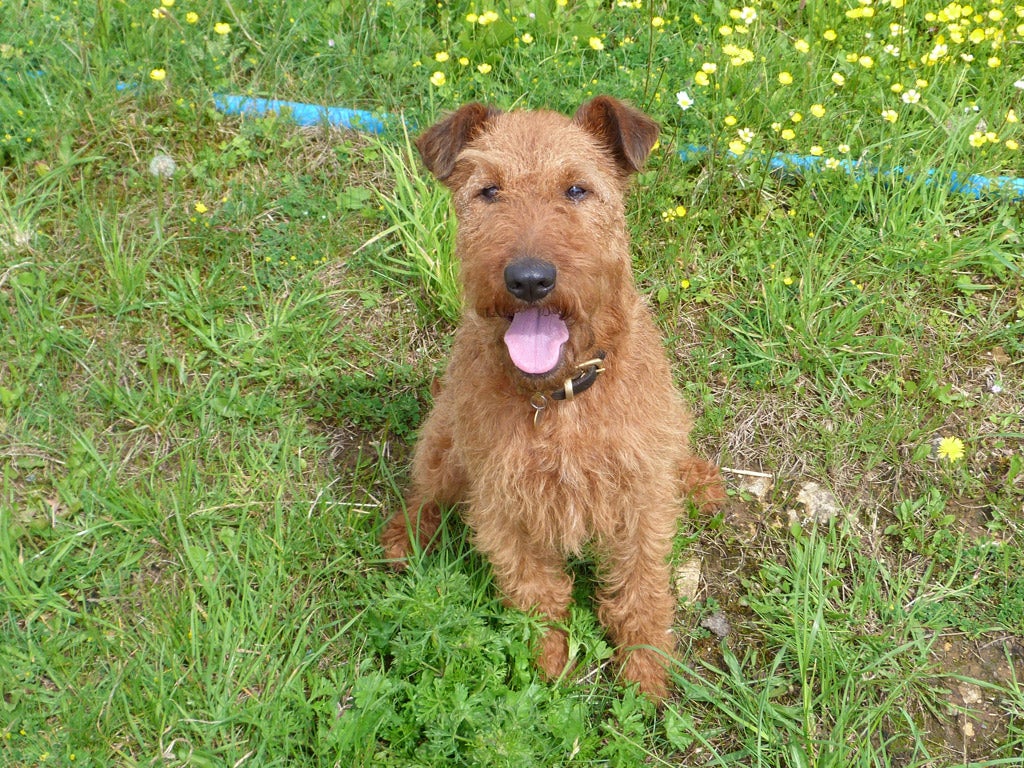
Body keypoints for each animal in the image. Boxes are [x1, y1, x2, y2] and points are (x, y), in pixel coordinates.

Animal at [380, 97, 724, 704]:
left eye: (577, 189)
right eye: (488, 190)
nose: (529, 279)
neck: (558, 398)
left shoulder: (638, 499)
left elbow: (640, 588)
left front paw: (646, 671)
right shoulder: (504, 508)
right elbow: (535, 593)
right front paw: (547, 665)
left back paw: (699, 479)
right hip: (446, 445)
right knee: (424, 492)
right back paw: (404, 537)